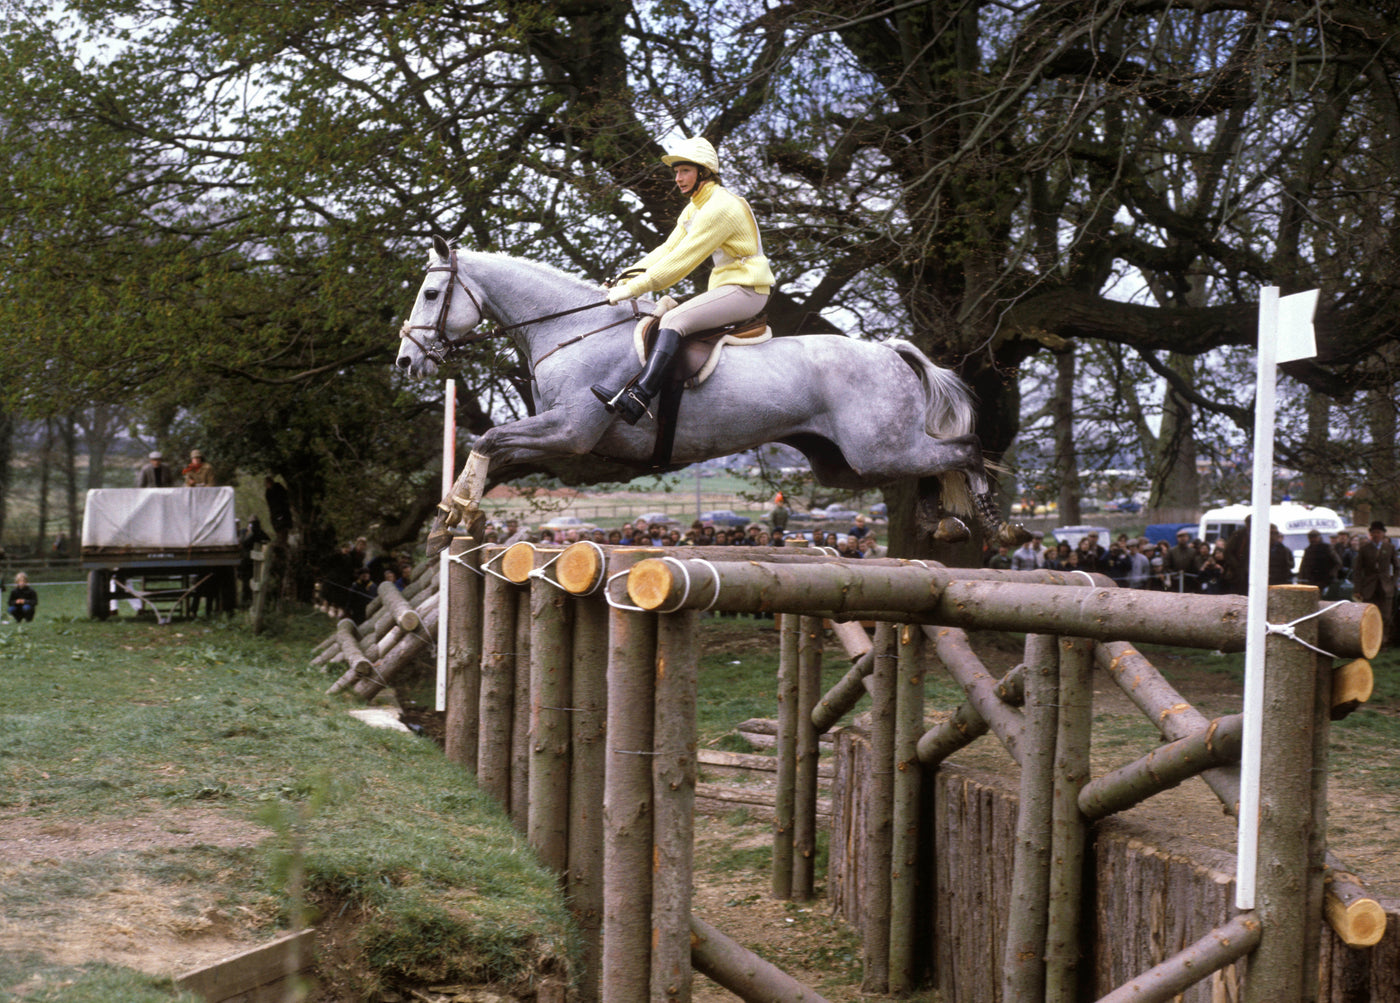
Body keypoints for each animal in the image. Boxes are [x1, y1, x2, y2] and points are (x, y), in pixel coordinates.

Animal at [396, 237, 1027, 555]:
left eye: (430, 294)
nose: (405, 361)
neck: (571, 329)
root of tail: (889, 351)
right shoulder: (564, 438)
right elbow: (492, 445)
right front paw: (455, 517)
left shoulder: (570, 431)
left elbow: (488, 438)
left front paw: (451, 516)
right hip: (846, 465)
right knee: (933, 463)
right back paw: (947, 523)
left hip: (877, 449)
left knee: (964, 449)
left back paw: (994, 525)